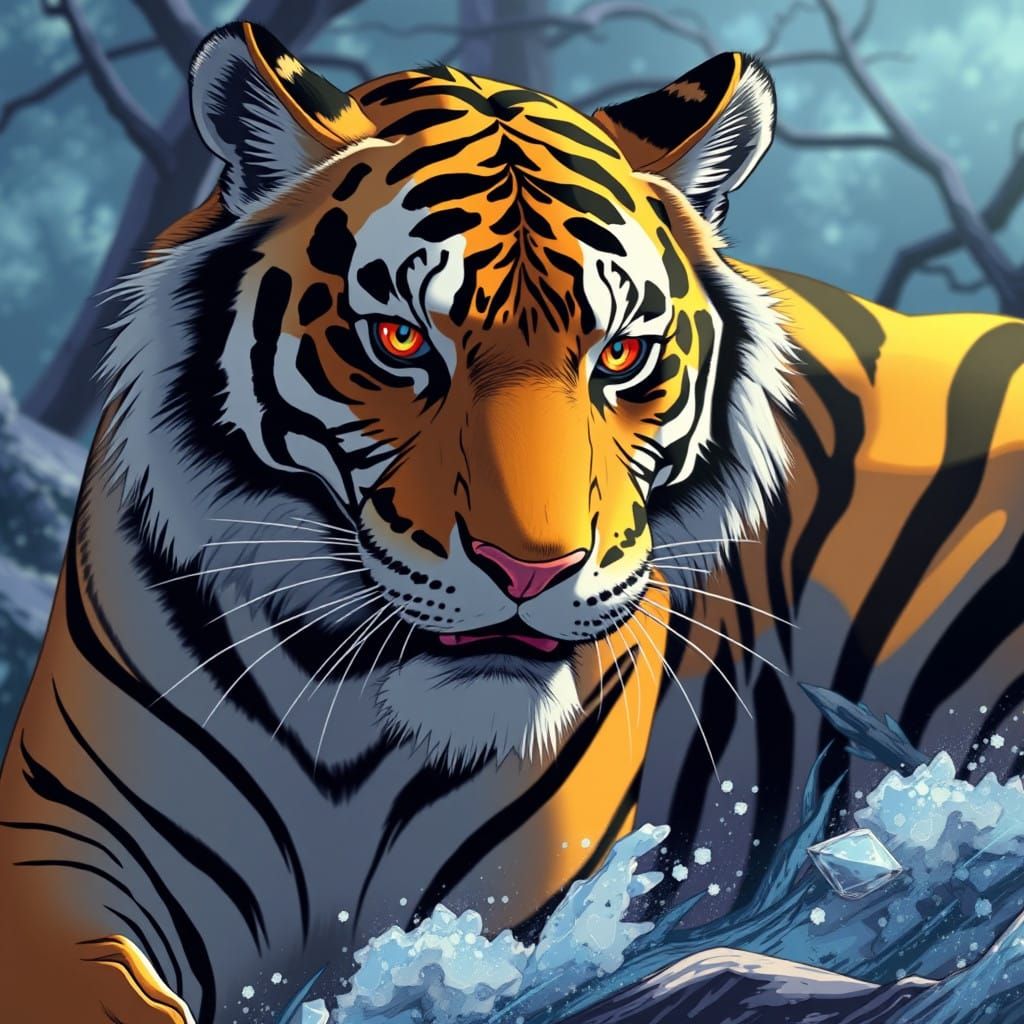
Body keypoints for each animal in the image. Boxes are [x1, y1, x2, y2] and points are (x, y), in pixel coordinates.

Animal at [1, 19, 1022, 1024]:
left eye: (621, 355)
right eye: (403, 340)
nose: (531, 570)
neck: (344, 715)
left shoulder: (518, 907)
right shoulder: (60, 851)